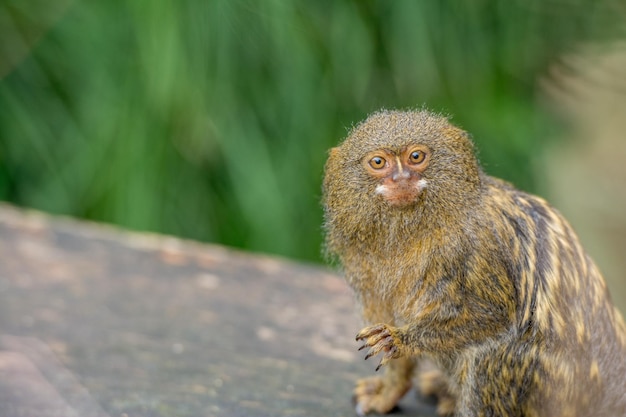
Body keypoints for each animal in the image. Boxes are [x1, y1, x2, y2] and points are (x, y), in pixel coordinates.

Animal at [322, 109, 624, 416]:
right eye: (378, 162)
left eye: (416, 156)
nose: (401, 178)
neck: (414, 228)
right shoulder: (364, 265)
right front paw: (390, 391)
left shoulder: (483, 244)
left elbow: (495, 315)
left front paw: (401, 339)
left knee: (497, 356)